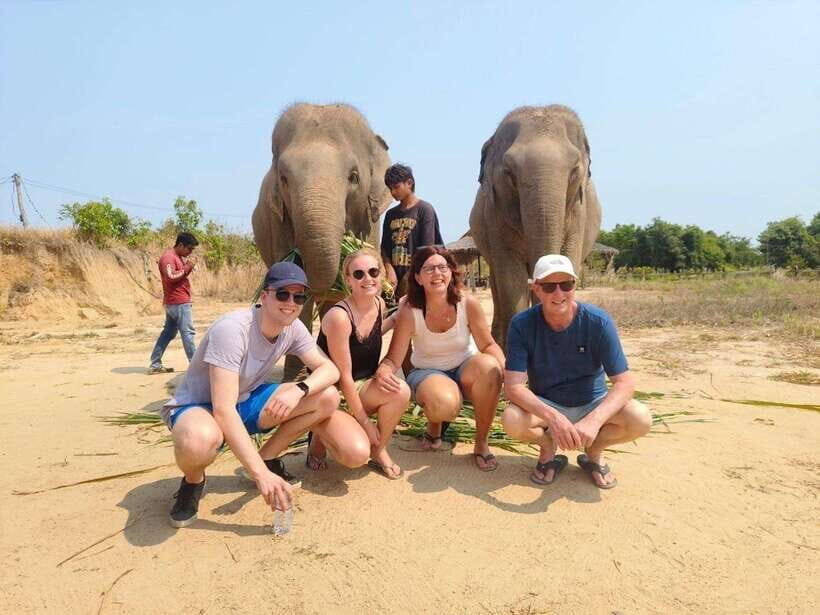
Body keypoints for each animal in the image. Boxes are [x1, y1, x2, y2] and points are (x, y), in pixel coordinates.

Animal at [469, 105, 602, 347]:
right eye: (509, 173)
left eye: (574, 171)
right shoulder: (495, 214)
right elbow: (511, 281)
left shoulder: (578, 213)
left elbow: (568, 260)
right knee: (497, 284)